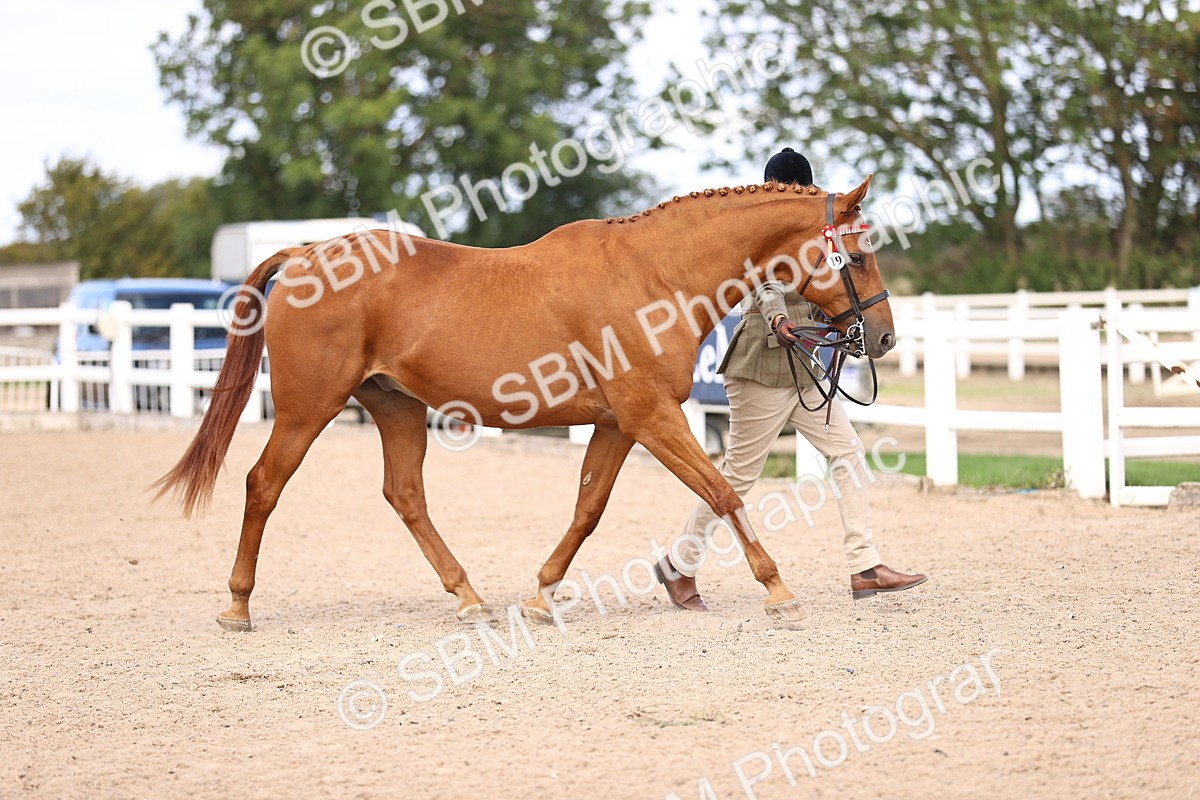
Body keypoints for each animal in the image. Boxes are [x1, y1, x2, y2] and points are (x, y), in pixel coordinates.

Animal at [152, 175, 895, 631]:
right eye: (857, 256)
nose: (882, 336)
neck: (654, 275)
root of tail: (308, 254)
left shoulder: (618, 424)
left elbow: (589, 509)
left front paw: (541, 595)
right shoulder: (652, 417)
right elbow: (722, 492)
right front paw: (779, 591)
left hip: (394, 407)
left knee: (405, 495)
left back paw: (469, 598)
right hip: (308, 409)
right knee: (263, 484)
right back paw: (238, 607)